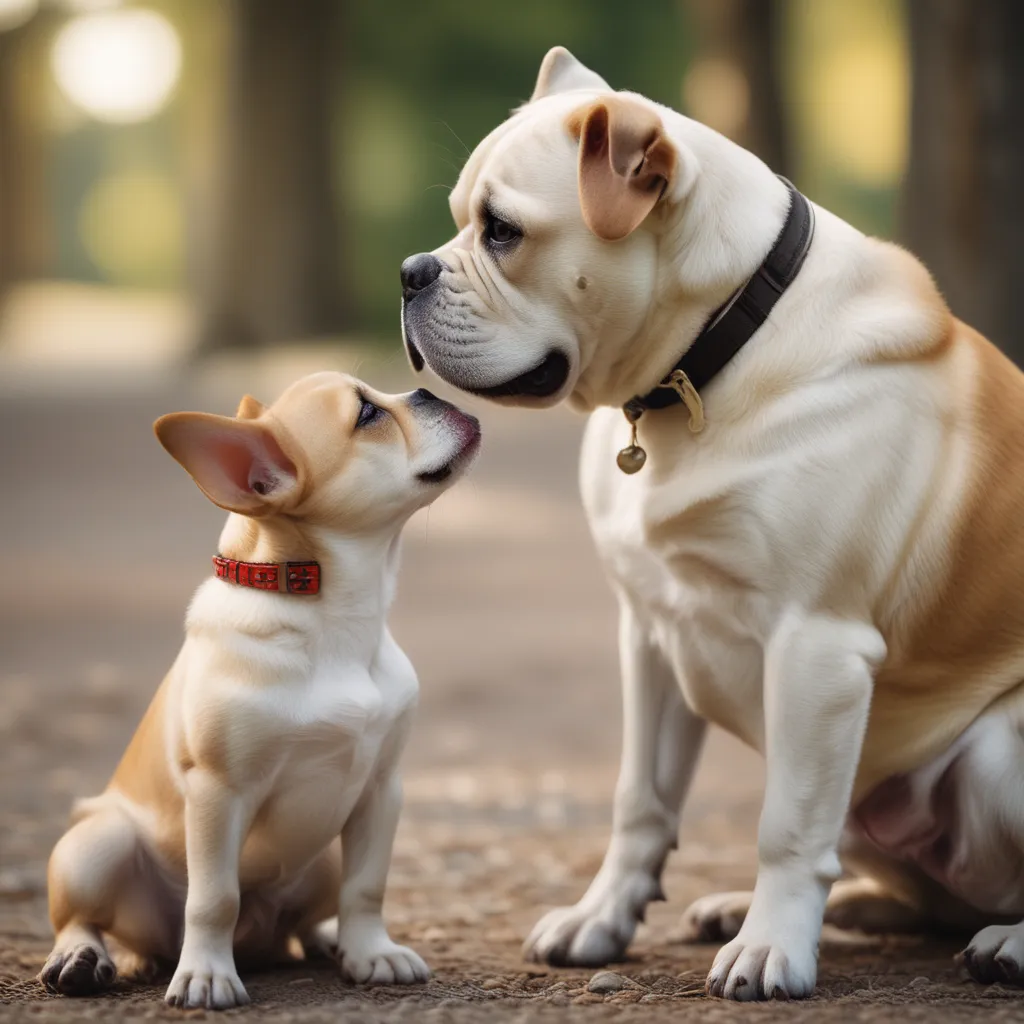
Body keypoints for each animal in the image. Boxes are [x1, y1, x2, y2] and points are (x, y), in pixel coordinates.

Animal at [39, 374, 479, 1007]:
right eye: (367, 414)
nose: (425, 389)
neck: (336, 614)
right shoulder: (220, 793)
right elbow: (215, 896)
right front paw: (206, 974)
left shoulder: (381, 789)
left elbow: (367, 885)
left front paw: (372, 952)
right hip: (98, 843)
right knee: (84, 916)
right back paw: (81, 957)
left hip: (320, 859)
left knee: (310, 914)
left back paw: (328, 940)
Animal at [401, 48, 1024, 999]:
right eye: (456, 224)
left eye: (502, 232)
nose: (410, 271)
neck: (713, 352)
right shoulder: (652, 631)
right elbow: (641, 802)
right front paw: (602, 919)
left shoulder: (816, 649)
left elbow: (787, 828)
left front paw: (772, 948)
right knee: (909, 897)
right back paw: (751, 908)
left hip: (989, 751)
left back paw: (1001, 940)